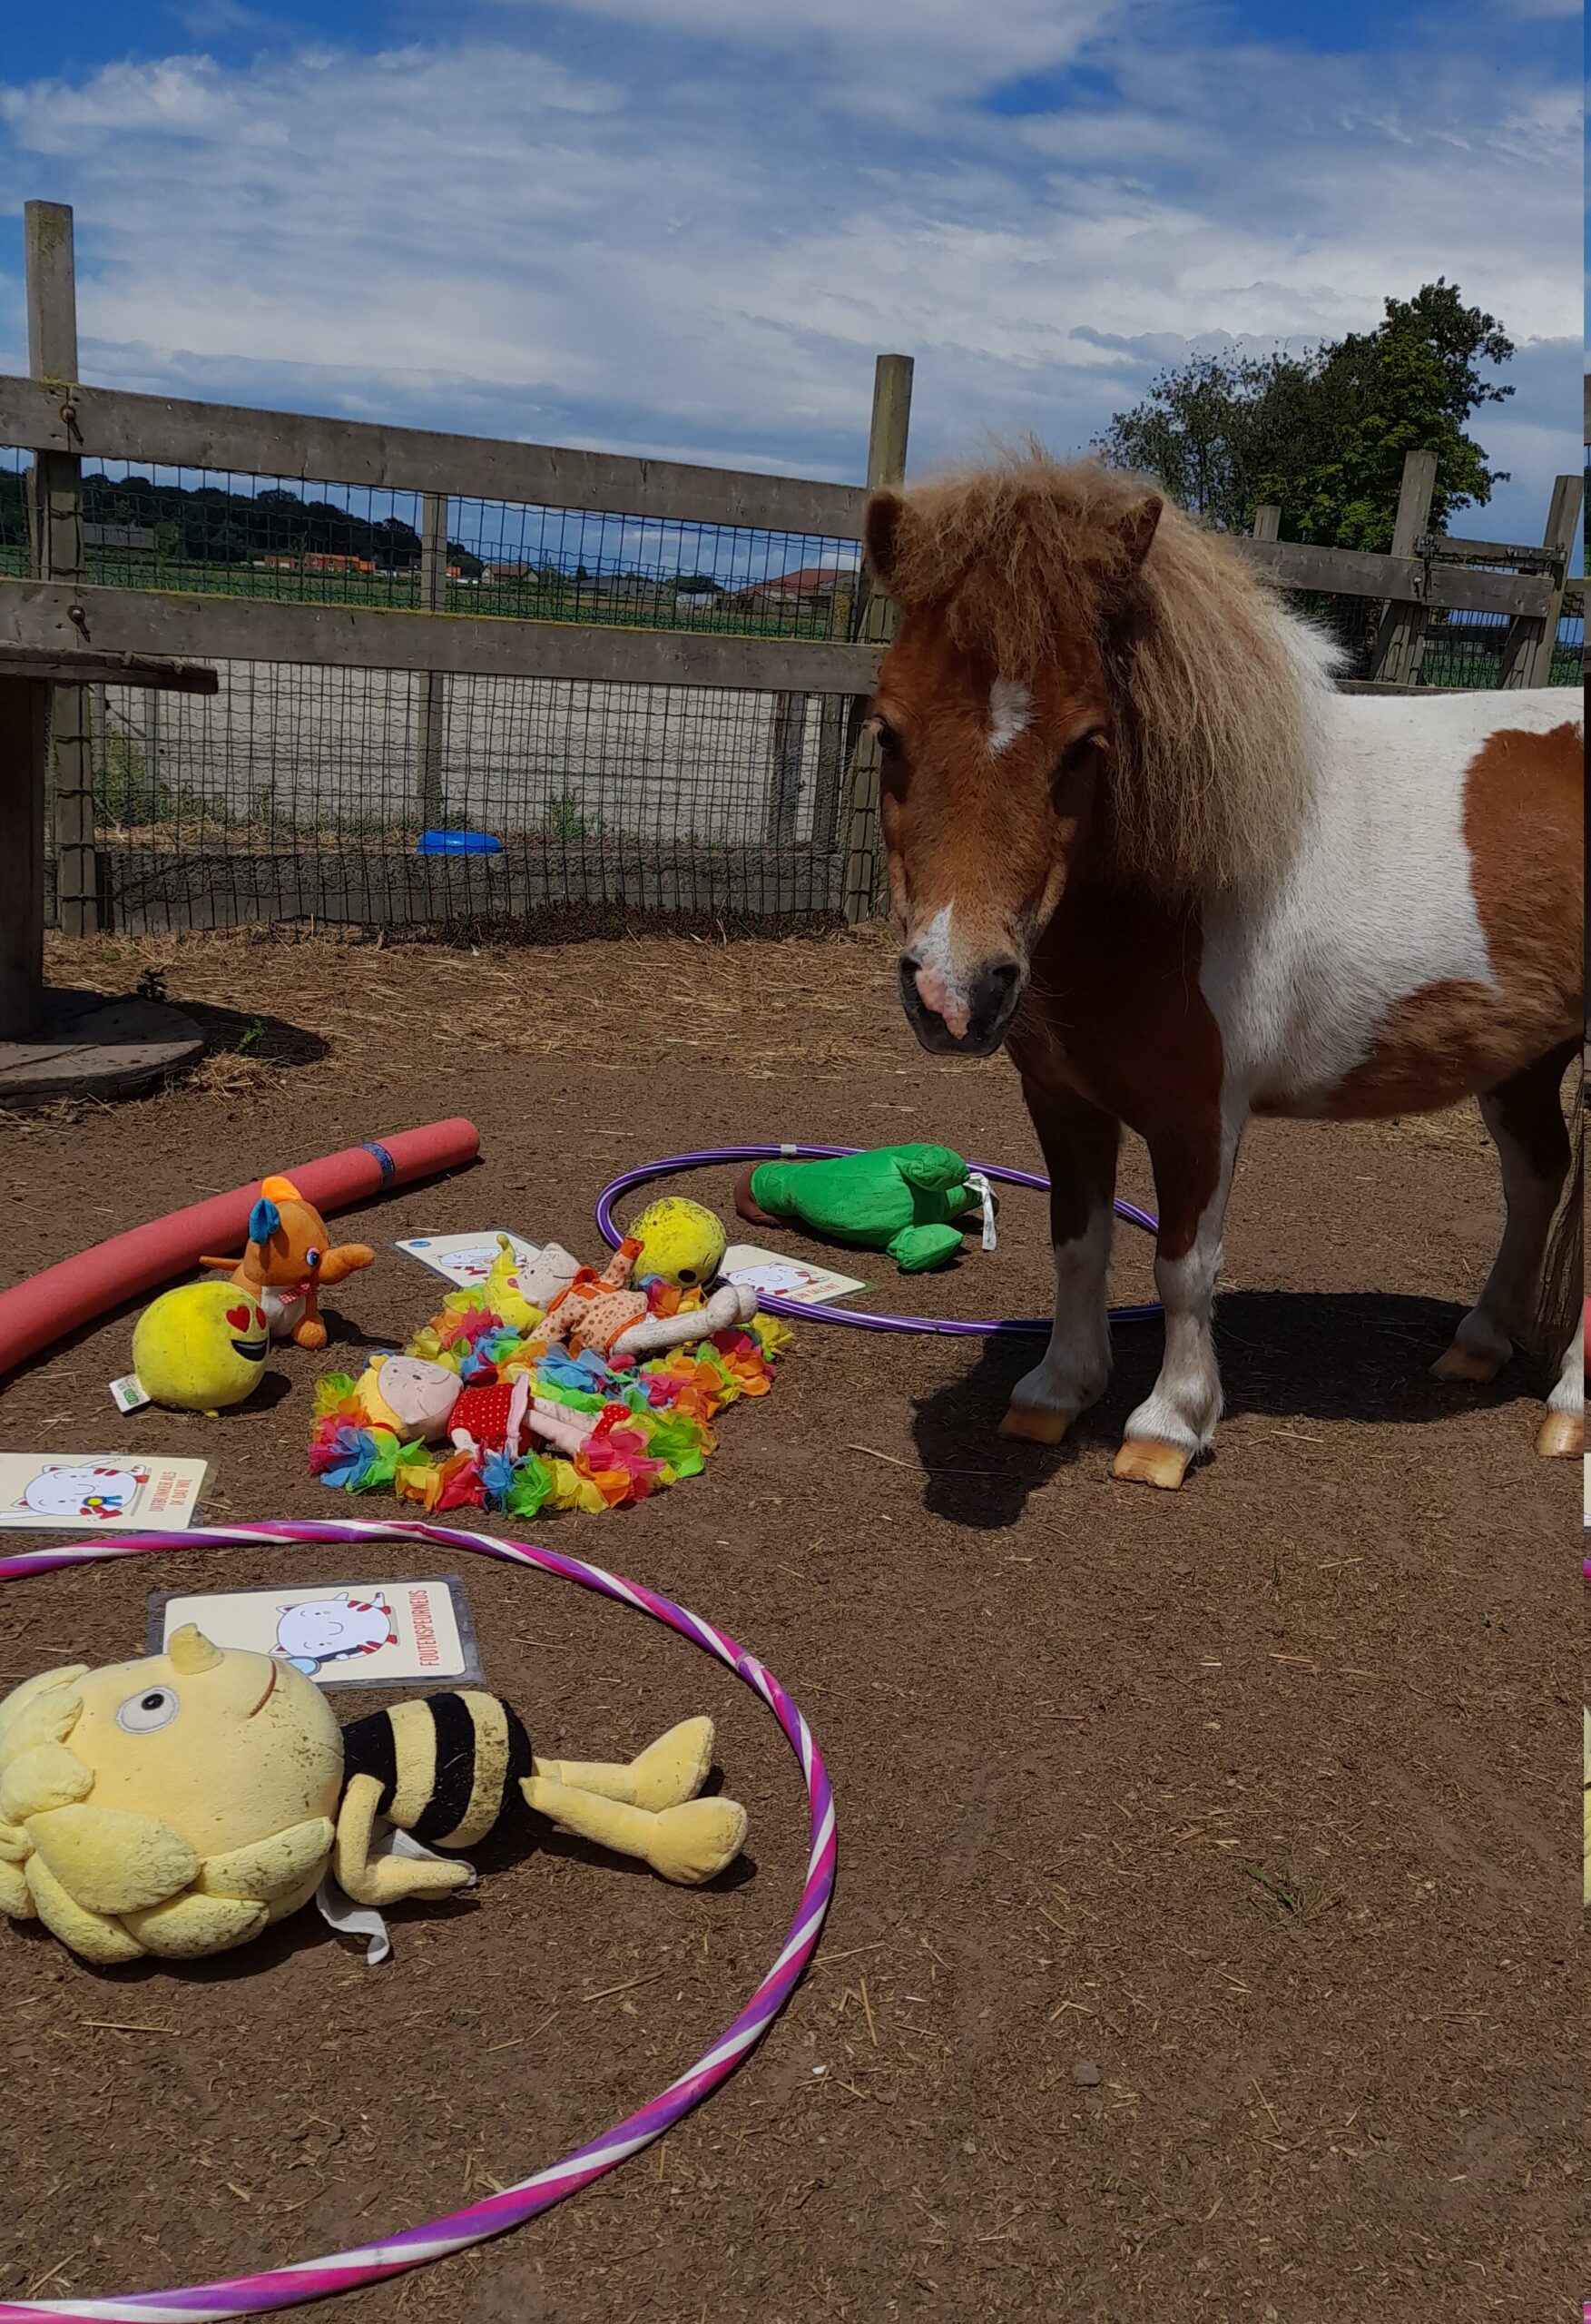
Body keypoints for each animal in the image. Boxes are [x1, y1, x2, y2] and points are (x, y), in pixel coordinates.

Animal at [863, 458, 1579, 1487]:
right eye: (887, 733)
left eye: (1083, 746)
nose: (953, 994)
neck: (1169, 898)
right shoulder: (1061, 1101)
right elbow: (1077, 1244)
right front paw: (1056, 1391)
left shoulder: (1201, 1116)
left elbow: (1182, 1265)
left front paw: (1167, 1424)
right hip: (1524, 1061)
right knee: (1536, 1179)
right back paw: (1478, 1346)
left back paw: (1568, 1409)